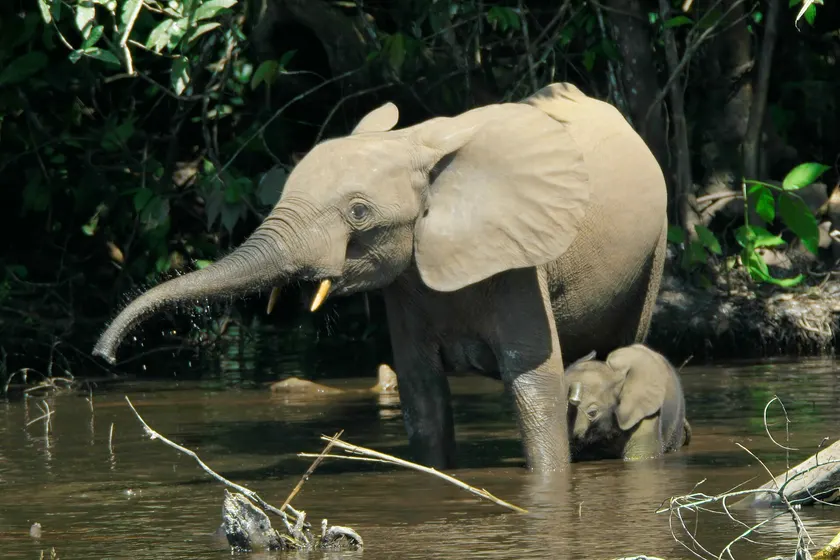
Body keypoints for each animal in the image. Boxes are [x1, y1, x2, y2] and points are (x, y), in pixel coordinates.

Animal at [92, 82, 668, 474]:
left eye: (359, 212)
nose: (104, 357)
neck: (416, 145)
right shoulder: (407, 281)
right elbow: (422, 395)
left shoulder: (519, 261)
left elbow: (533, 385)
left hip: (655, 248)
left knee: (623, 345)